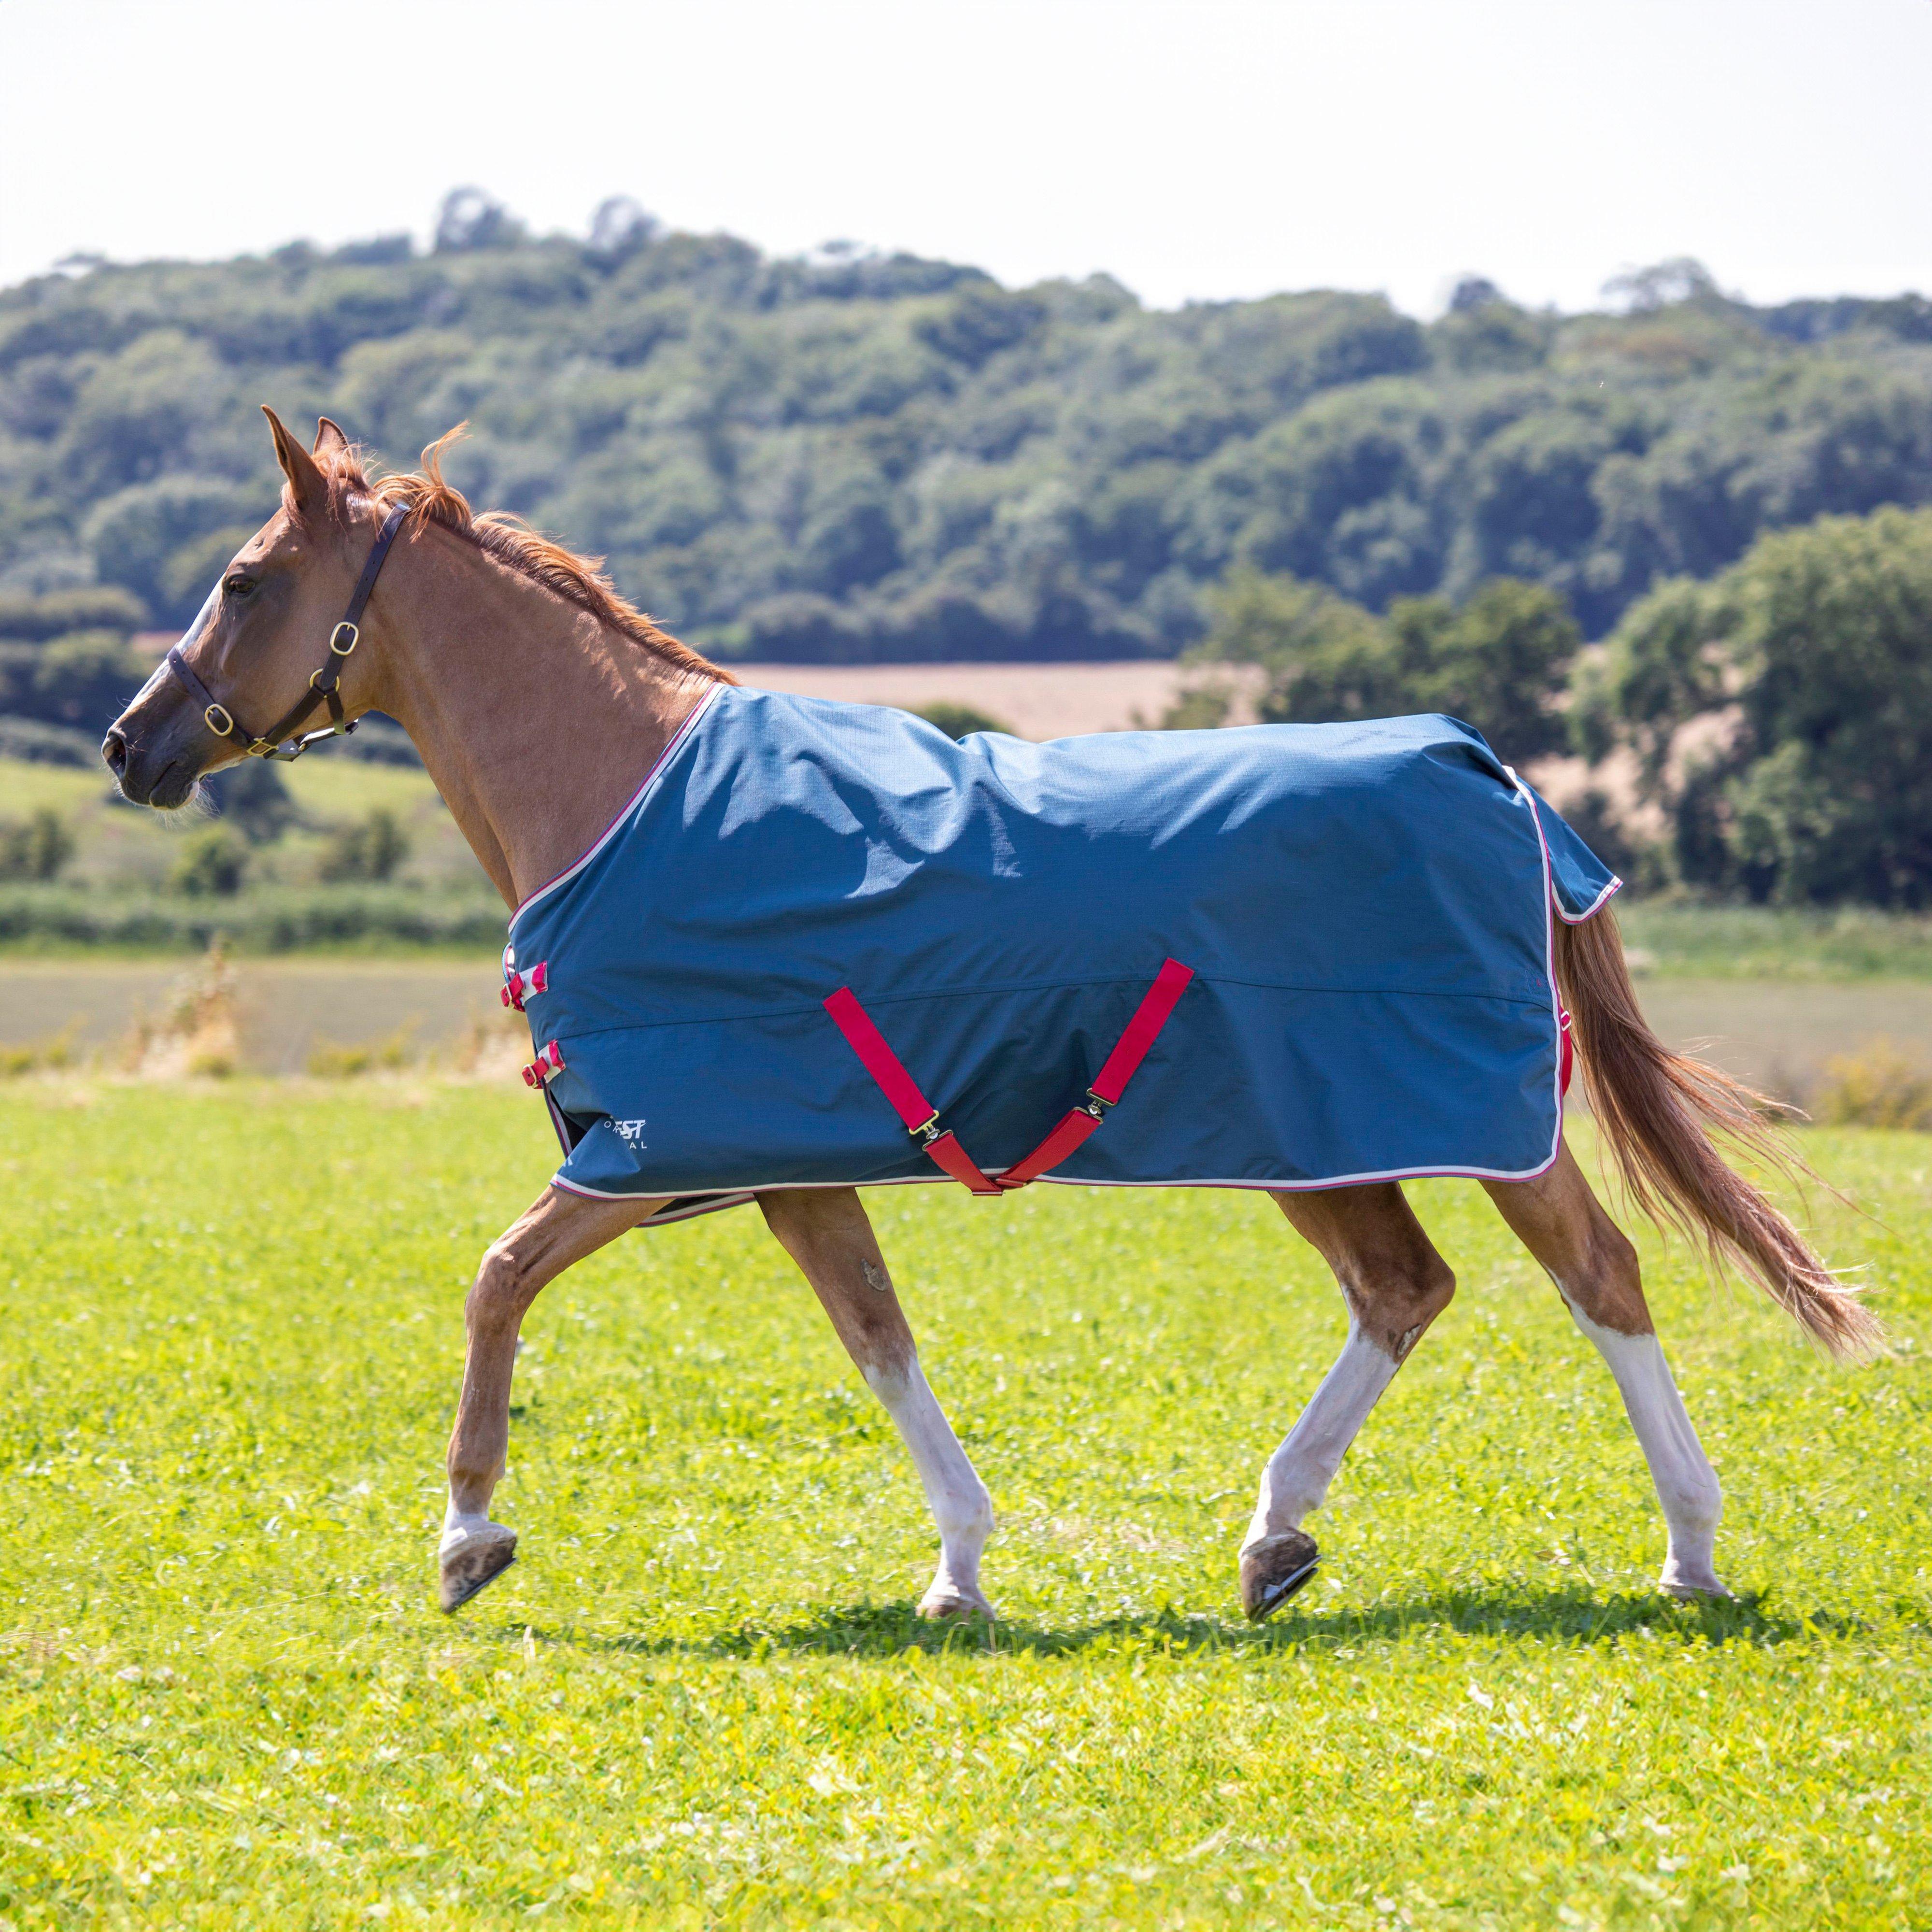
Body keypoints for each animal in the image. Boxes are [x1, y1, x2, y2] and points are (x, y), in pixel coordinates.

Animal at [103, 408, 1881, 1623]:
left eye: (245, 581)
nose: (131, 746)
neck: (627, 797)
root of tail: (1489, 768)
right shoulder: (786, 1166)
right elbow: (879, 1341)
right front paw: (959, 1568)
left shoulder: (651, 1150)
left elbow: (495, 1280)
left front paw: (468, 1536)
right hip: (1318, 1139)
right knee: (1406, 1288)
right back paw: (1277, 1536)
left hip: (1468, 1121)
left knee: (1601, 1277)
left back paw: (1689, 1551)